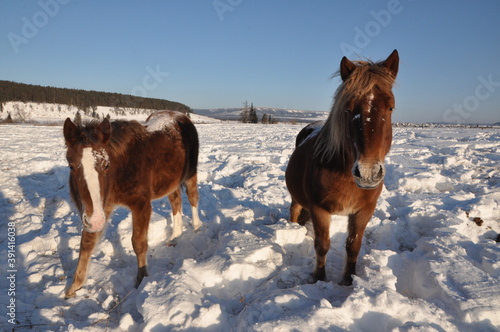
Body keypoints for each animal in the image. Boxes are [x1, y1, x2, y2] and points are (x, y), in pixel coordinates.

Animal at [63, 109, 200, 298]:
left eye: (106, 165)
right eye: (71, 166)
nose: (95, 220)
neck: (121, 169)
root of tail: (181, 115)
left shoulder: (140, 204)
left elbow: (139, 242)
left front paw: (141, 280)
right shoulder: (101, 206)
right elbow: (87, 242)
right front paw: (75, 285)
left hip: (191, 173)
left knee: (193, 197)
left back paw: (197, 228)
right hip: (170, 182)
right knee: (176, 202)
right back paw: (175, 235)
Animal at [286, 50, 398, 286]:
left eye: (391, 107)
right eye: (348, 108)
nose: (368, 173)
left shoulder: (364, 211)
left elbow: (353, 246)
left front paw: (348, 280)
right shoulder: (319, 209)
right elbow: (322, 245)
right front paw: (319, 278)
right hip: (296, 197)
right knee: (294, 210)